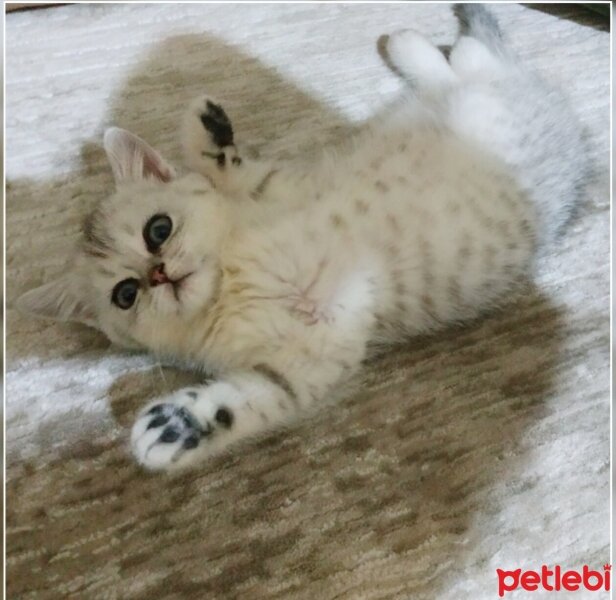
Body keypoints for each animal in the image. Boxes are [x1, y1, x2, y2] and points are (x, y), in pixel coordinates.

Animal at [18, 5, 588, 474]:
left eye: (158, 229)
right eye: (126, 294)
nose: (158, 274)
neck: (233, 280)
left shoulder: (279, 188)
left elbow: (234, 170)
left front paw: (207, 131)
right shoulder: (312, 356)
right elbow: (247, 399)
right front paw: (177, 426)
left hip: (482, 93)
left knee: (472, 57)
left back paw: (406, 41)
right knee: (468, 62)